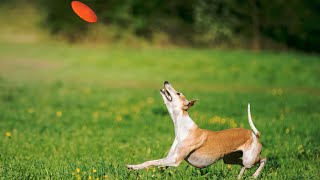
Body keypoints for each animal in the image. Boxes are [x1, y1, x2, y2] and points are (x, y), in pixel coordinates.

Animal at [127, 81, 264, 179]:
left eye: (178, 93)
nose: (166, 81)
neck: (183, 127)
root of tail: (255, 134)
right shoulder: (169, 159)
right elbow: (158, 165)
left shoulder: (175, 160)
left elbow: (151, 161)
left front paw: (133, 167)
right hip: (229, 159)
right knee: (243, 166)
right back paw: (240, 177)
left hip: (249, 159)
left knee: (262, 159)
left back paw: (254, 175)